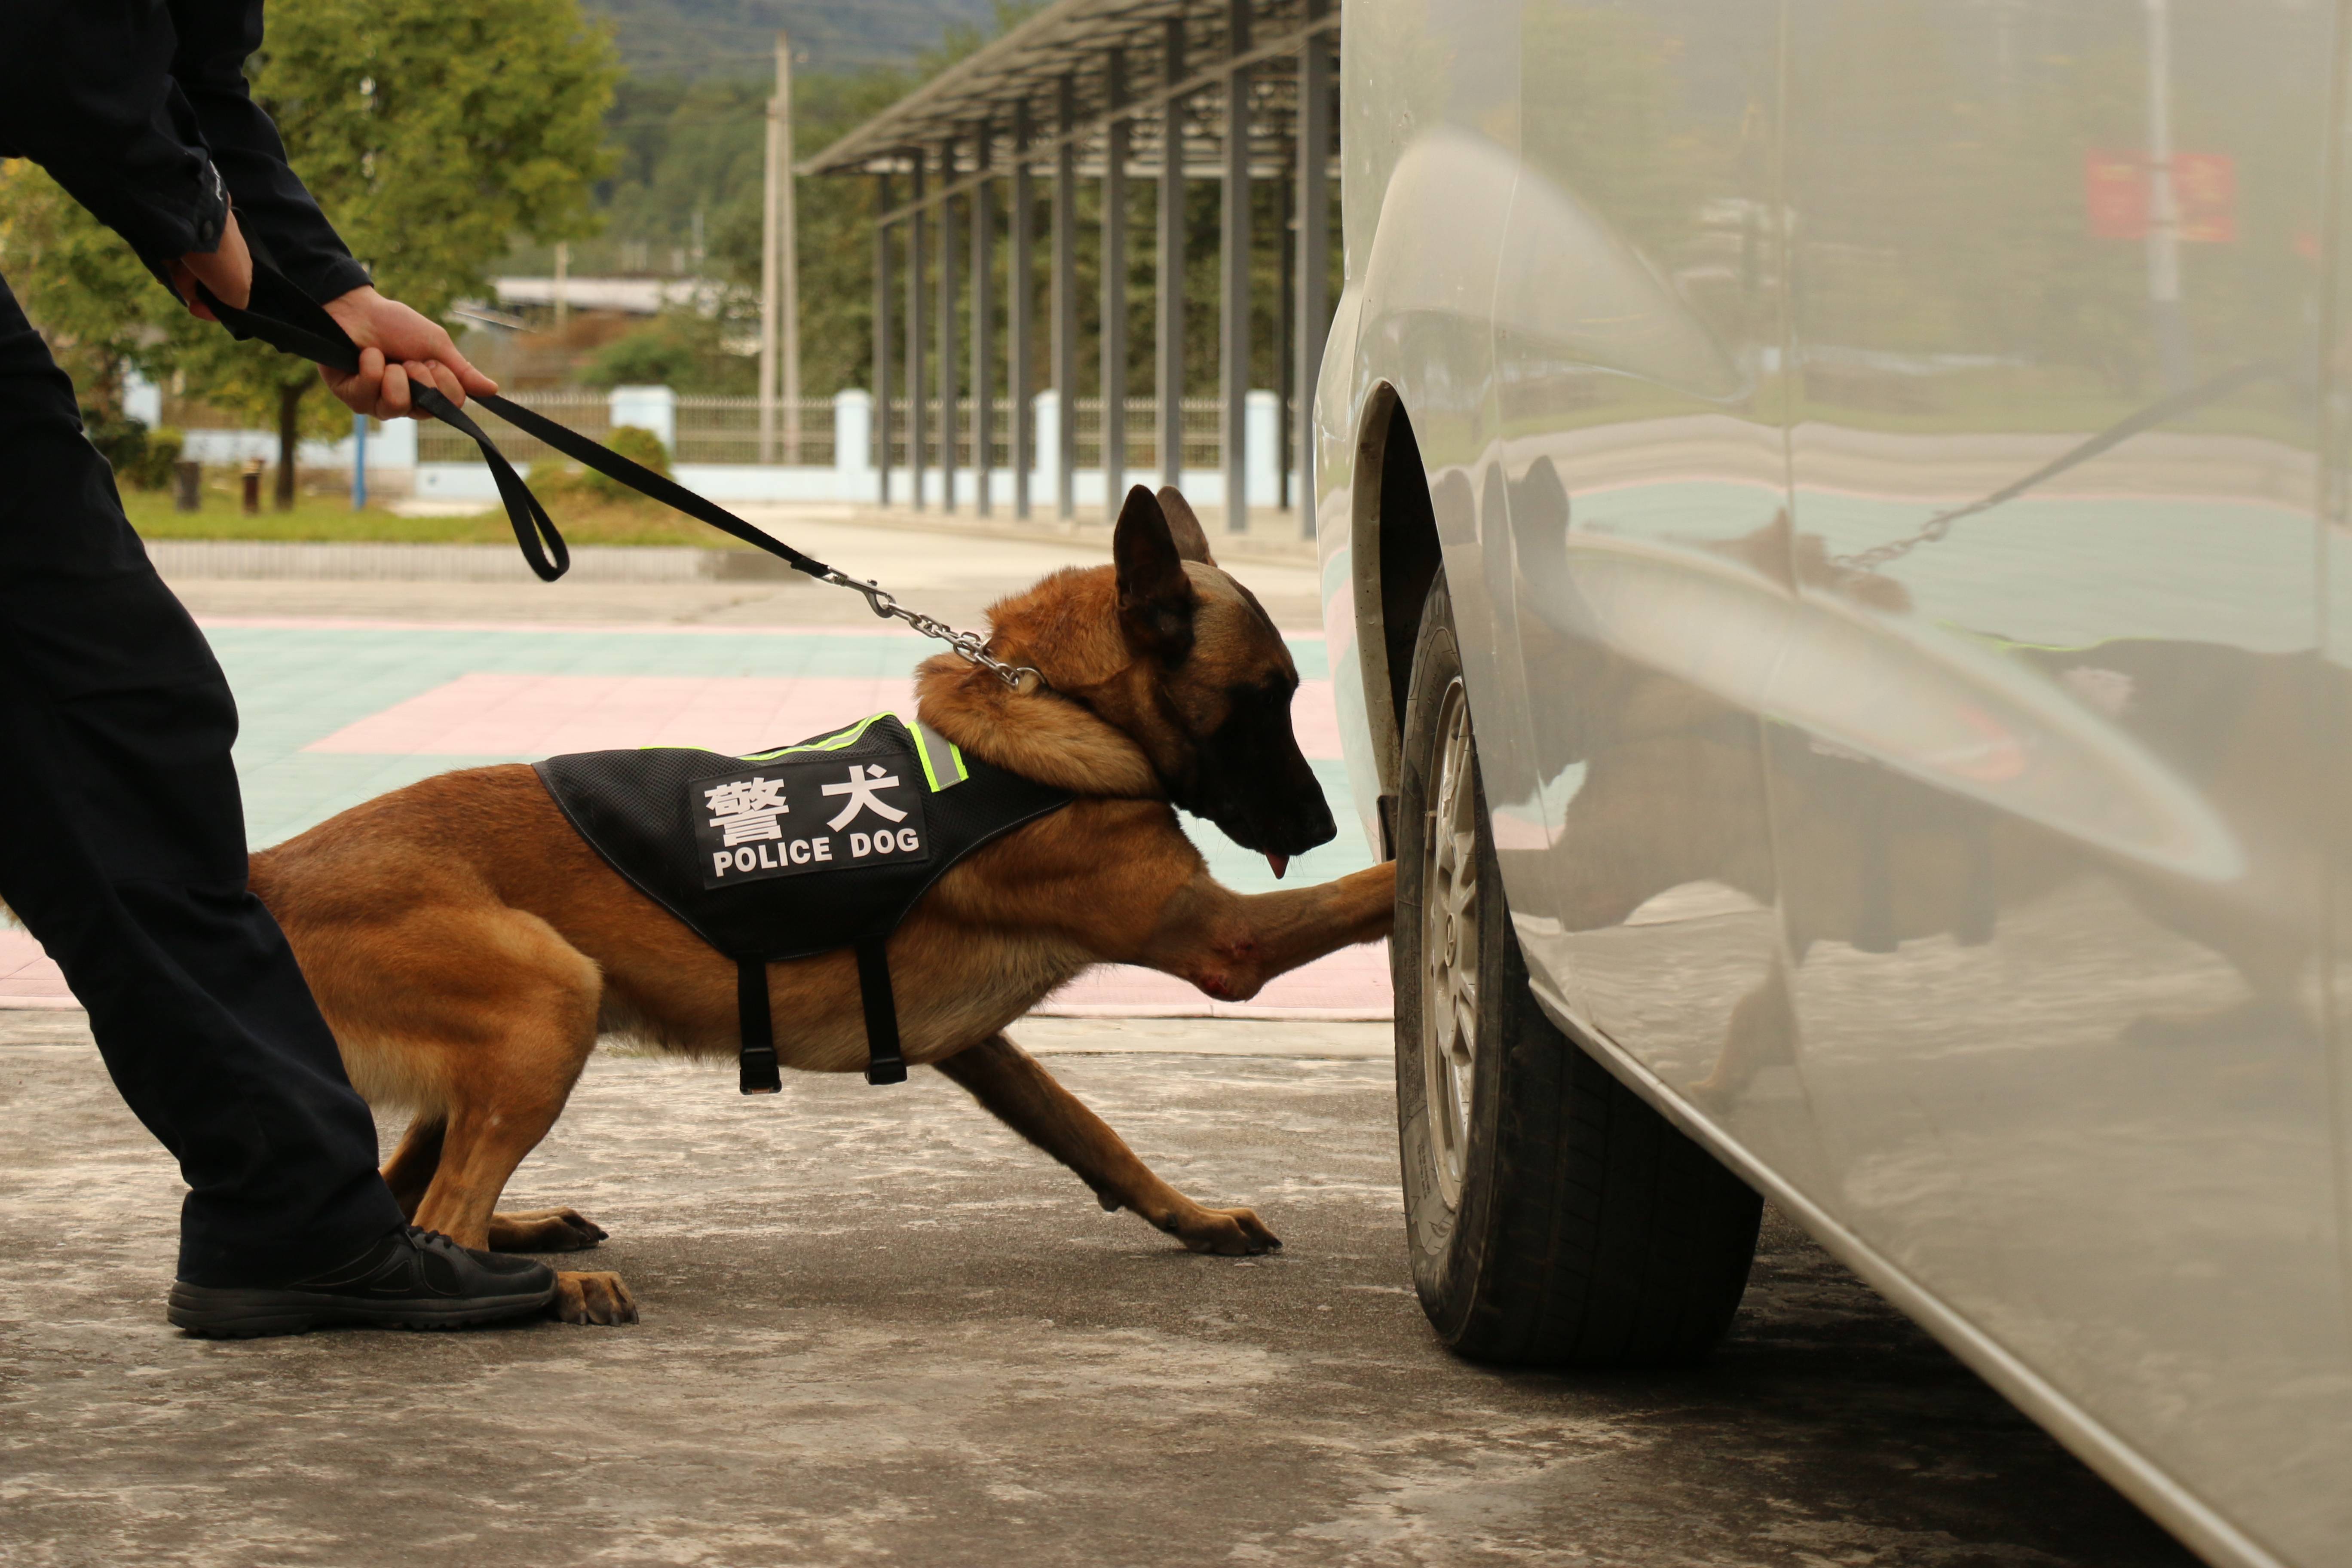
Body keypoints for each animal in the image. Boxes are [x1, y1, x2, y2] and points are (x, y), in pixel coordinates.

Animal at [253, 487, 1392, 1326]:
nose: (1321, 823)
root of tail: (274, 866)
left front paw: (1188, 1218)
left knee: (408, 1197)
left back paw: (521, 1242)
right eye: (1268, 697)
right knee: (441, 1216)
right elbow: (1361, 898)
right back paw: (539, 1287)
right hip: (552, 998)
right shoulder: (1222, 944)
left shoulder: (978, 1046)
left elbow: (1093, 1133)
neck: (1052, 706)